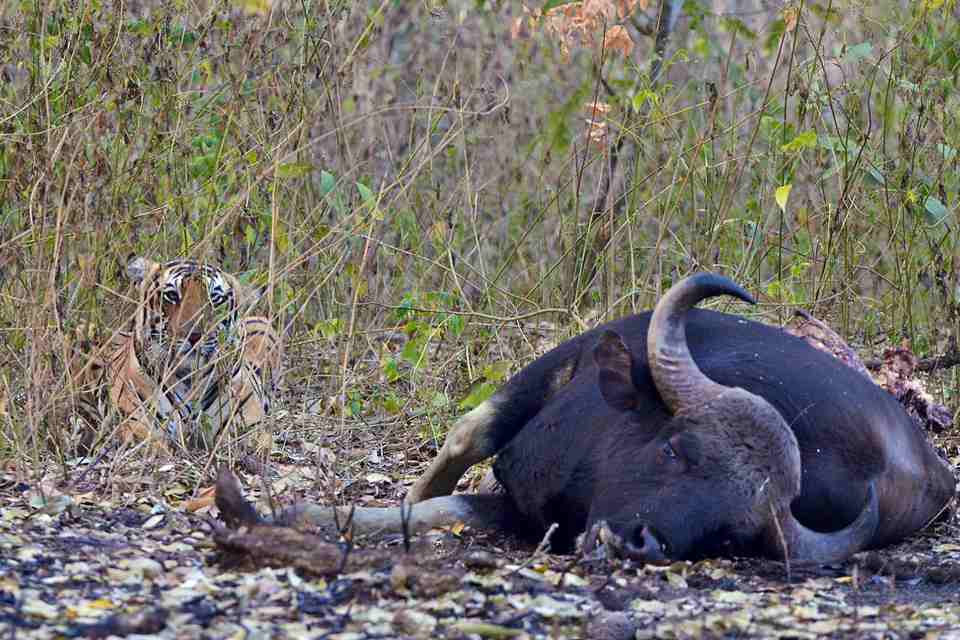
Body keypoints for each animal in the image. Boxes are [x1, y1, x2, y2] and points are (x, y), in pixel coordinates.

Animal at [71, 255, 284, 450]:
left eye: (215, 299)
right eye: (172, 295)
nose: (195, 335)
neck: (189, 379)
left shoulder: (249, 422)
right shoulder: (137, 421)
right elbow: (152, 445)